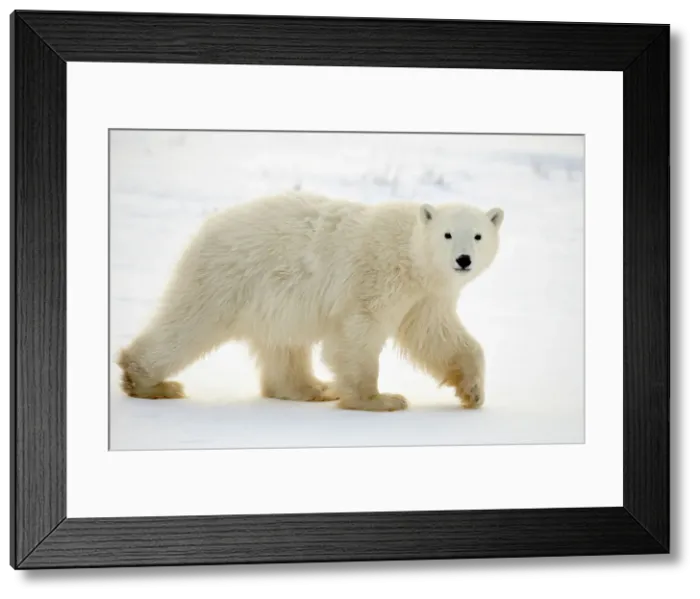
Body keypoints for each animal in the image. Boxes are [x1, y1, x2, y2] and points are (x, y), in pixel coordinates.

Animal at [117, 190, 504, 412]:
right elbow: (359, 332)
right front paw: (379, 399)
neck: (411, 255)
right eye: (448, 234)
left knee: (284, 345)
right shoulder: (378, 276)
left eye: (478, 235)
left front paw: (473, 392)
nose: (463, 259)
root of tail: (204, 231)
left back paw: (312, 388)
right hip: (228, 279)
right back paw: (151, 382)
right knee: (188, 324)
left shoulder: (426, 295)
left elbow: (436, 335)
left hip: (274, 301)